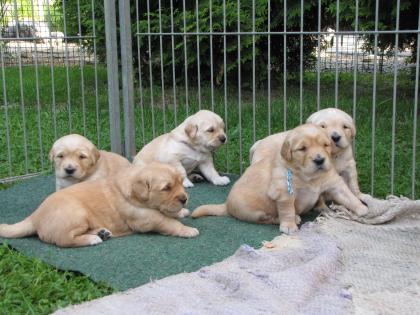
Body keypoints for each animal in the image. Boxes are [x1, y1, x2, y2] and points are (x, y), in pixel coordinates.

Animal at [0, 163, 199, 249]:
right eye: (166, 188)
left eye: (181, 182)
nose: (184, 199)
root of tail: (35, 216)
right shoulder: (146, 218)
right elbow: (167, 221)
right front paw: (187, 230)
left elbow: (169, 213)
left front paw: (182, 211)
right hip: (76, 213)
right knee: (64, 240)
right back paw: (92, 239)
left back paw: (102, 233)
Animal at [194, 124, 368, 235]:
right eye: (302, 149)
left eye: (325, 145)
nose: (319, 160)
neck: (310, 177)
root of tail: (227, 205)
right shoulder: (284, 192)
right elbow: (287, 210)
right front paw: (289, 226)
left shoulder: (334, 184)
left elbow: (349, 197)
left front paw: (363, 209)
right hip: (254, 212)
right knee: (267, 218)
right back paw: (293, 219)